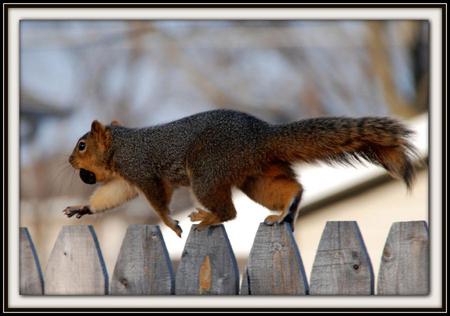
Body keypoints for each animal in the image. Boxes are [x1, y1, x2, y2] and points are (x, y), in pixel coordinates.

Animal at [63, 109, 418, 237]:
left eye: (82, 145)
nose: (68, 160)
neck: (120, 147)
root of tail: (262, 136)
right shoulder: (126, 180)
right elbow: (112, 194)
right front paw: (83, 207)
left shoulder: (142, 171)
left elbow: (158, 201)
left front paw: (170, 224)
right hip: (256, 178)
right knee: (289, 190)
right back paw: (283, 212)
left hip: (207, 172)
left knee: (229, 212)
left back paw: (206, 218)